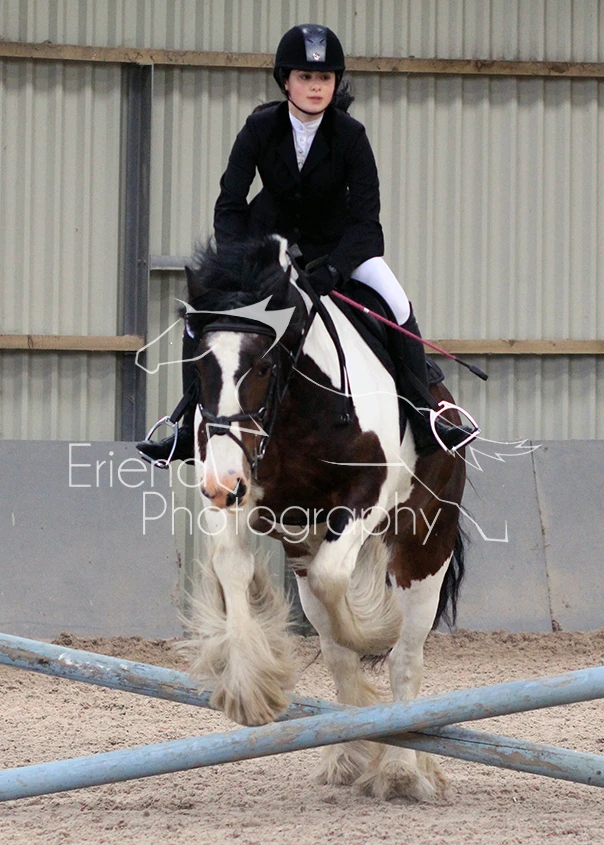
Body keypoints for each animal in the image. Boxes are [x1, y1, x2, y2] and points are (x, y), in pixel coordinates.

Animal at [179, 234, 467, 801]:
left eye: (264, 365)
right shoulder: (251, 495)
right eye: (198, 365)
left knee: (405, 656)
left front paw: (370, 631)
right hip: (303, 543)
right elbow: (232, 566)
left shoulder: (365, 496)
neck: (297, 407)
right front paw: (252, 688)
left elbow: (341, 589)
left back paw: (401, 769)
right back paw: (351, 750)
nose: (222, 485)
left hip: (426, 546)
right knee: (334, 646)